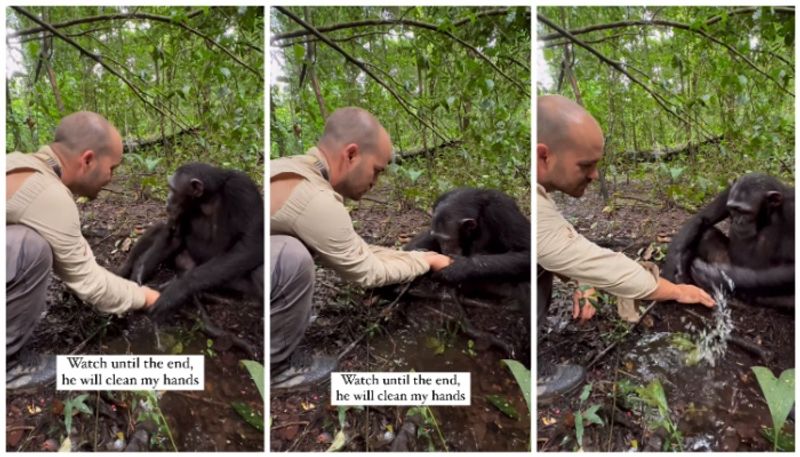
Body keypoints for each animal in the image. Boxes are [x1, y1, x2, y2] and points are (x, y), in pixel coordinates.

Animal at [119, 162, 264, 318]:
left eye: (173, 189)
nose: (167, 199)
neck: (207, 198)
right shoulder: (178, 211)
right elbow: (174, 237)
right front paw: (141, 270)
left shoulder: (243, 190)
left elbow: (250, 246)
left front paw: (176, 291)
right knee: (158, 229)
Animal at [664, 173, 792, 308]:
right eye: (733, 209)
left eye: (746, 212)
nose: (738, 221)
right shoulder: (729, 192)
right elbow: (703, 217)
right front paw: (674, 267)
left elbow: (792, 269)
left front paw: (715, 278)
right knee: (707, 234)